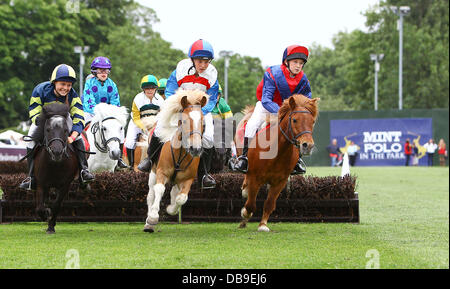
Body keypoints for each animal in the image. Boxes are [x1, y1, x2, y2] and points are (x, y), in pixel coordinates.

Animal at [143, 90, 208, 232]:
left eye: (203, 122)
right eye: (184, 121)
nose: (196, 149)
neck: (181, 153)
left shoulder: (188, 179)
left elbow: (181, 198)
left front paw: (171, 208)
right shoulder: (161, 172)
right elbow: (159, 189)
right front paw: (153, 218)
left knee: (174, 191)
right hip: (153, 172)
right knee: (151, 194)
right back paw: (148, 223)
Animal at [237, 94, 318, 232]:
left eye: (312, 121)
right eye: (295, 120)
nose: (308, 145)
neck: (277, 151)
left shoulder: (280, 181)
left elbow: (269, 203)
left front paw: (263, 224)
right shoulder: (255, 178)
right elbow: (250, 204)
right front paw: (244, 214)